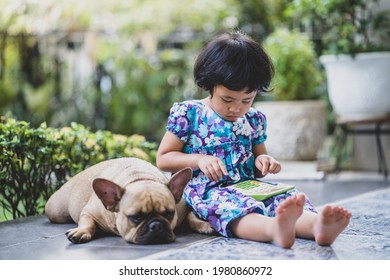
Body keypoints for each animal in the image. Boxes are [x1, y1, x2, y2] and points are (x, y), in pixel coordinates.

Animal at [45, 158, 213, 245]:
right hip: (55, 211)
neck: (139, 178)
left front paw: (205, 224)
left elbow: (191, 217)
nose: (156, 225)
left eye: (169, 214)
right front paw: (81, 231)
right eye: (135, 218)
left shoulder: (182, 208)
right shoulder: (89, 212)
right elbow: (87, 223)